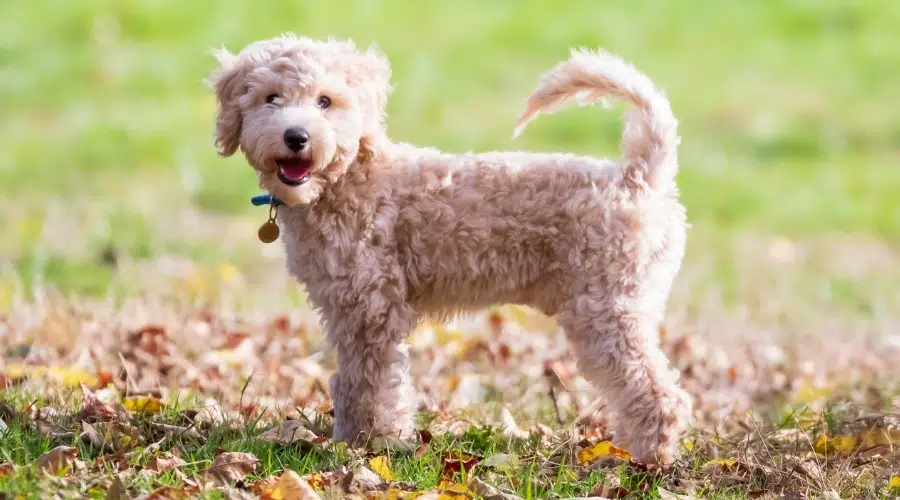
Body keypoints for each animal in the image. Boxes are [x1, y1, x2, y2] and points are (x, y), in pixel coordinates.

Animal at [207, 34, 692, 464]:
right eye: (270, 98)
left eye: (325, 101)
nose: (296, 137)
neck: (347, 179)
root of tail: (639, 176)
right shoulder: (346, 307)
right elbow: (349, 381)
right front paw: (350, 438)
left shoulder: (372, 308)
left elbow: (371, 382)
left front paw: (372, 444)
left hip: (606, 310)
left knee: (659, 392)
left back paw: (643, 459)